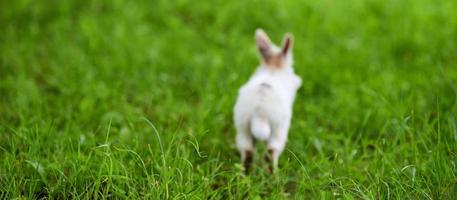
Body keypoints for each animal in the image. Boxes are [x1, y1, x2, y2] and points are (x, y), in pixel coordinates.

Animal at [233, 28, 302, 172]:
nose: (298, 80)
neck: (273, 67)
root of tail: (260, 113)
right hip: (278, 130)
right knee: (271, 152)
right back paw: (274, 174)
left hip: (243, 128)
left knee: (248, 151)